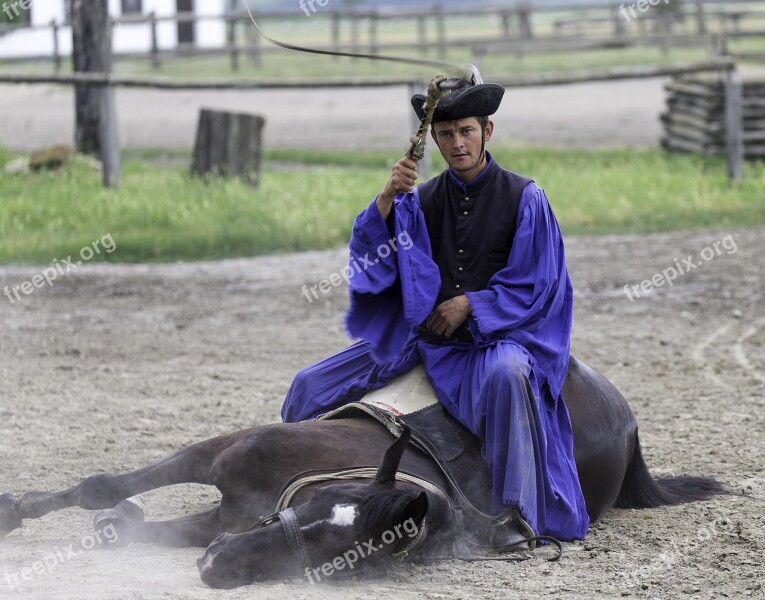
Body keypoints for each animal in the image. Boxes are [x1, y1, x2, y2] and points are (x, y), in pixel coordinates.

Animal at [0, 356, 724, 584]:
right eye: (318, 515)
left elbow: (130, 523)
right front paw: (18, 511)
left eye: (347, 556)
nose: (219, 566)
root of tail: (626, 420)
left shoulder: (226, 511)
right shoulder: (223, 455)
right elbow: (104, 488)